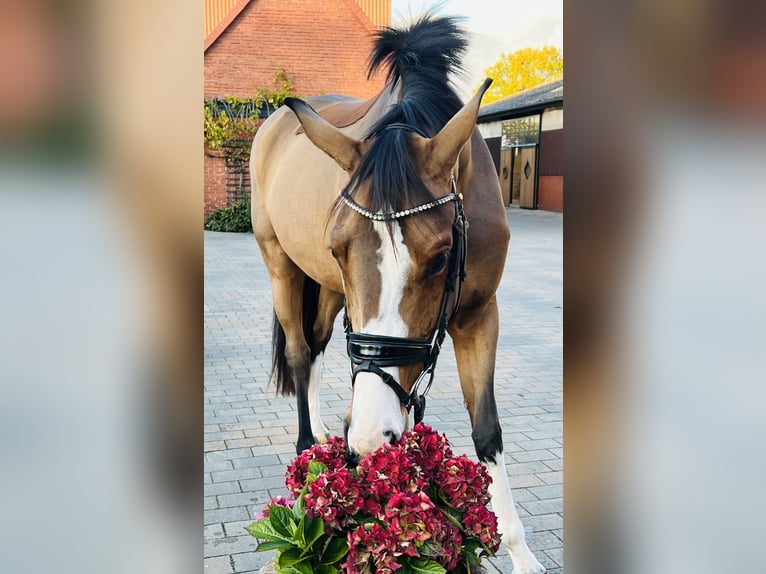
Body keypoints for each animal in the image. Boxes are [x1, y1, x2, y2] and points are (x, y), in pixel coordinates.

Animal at [249, 14, 546, 574]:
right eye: (338, 247)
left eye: (441, 258)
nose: (365, 440)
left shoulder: (479, 315)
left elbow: (487, 430)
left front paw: (520, 551)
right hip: (281, 263)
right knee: (299, 352)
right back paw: (306, 446)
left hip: (327, 290)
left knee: (316, 347)